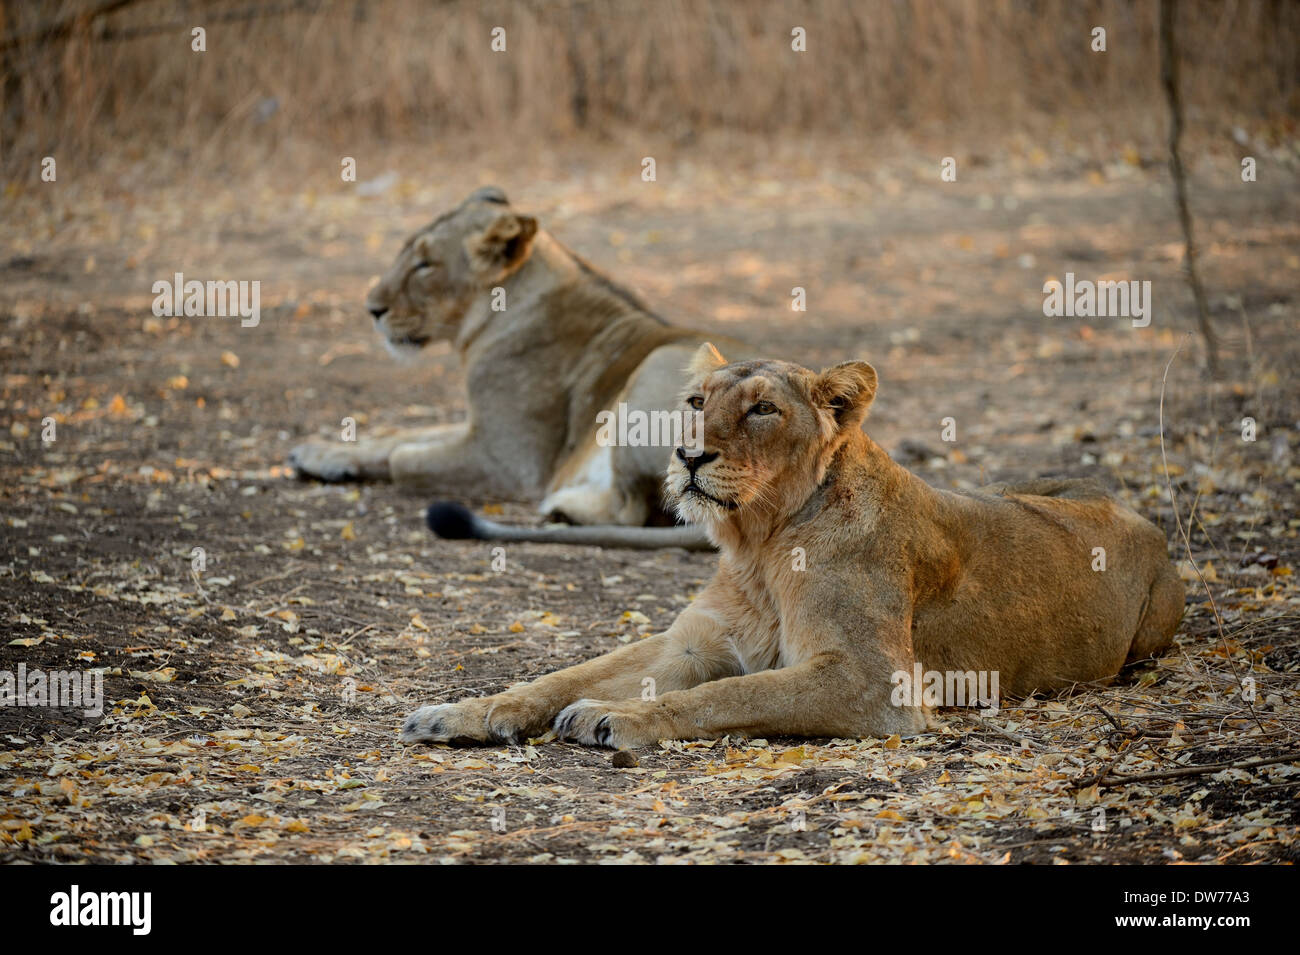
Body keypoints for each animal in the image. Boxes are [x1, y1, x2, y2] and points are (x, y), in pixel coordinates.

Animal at [289, 184, 748, 537]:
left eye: (425, 264)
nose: (371, 309)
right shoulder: (480, 425)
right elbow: (399, 434)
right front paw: (317, 454)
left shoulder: (510, 460)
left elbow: (403, 458)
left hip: (658, 364)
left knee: (638, 510)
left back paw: (563, 506)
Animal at [400, 343, 1185, 748]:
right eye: (696, 402)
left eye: (762, 410)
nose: (687, 454)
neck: (758, 544)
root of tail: (1136, 512)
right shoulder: (689, 642)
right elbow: (563, 675)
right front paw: (462, 713)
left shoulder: (873, 682)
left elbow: (725, 692)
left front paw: (616, 717)